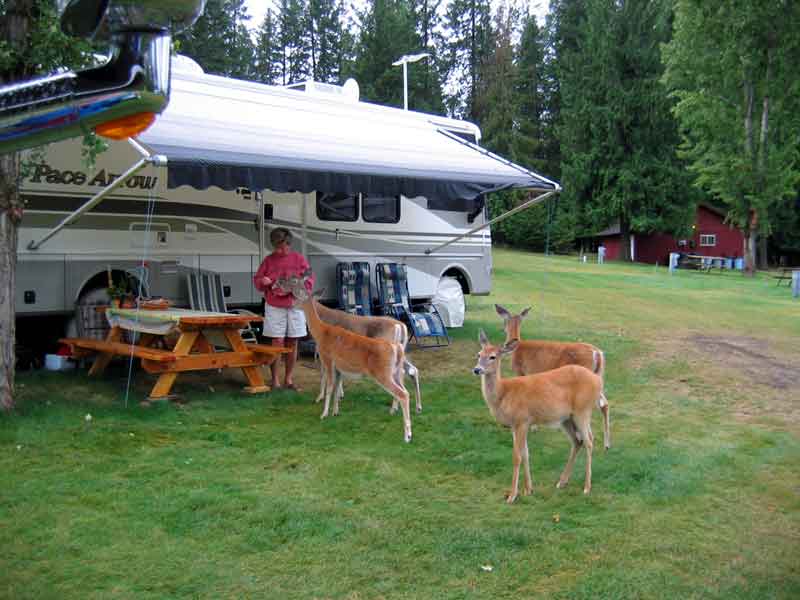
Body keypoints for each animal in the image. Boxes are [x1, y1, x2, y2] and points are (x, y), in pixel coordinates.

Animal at [276, 270, 412, 442]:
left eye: (297, 296)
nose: (291, 306)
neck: (321, 331)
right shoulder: (339, 367)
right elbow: (335, 388)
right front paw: (335, 411)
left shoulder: (327, 358)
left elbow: (328, 385)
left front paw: (323, 413)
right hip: (394, 371)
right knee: (407, 383)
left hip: (382, 373)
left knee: (403, 394)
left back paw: (407, 435)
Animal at [472, 328, 608, 502]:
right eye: (479, 354)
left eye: (493, 356)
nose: (477, 370)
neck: (504, 393)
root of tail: (598, 380)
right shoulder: (515, 425)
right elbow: (526, 453)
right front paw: (528, 489)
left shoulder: (522, 420)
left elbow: (517, 456)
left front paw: (512, 495)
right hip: (567, 418)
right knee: (577, 441)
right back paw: (562, 482)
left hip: (582, 410)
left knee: (589, 441)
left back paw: (586, 487)